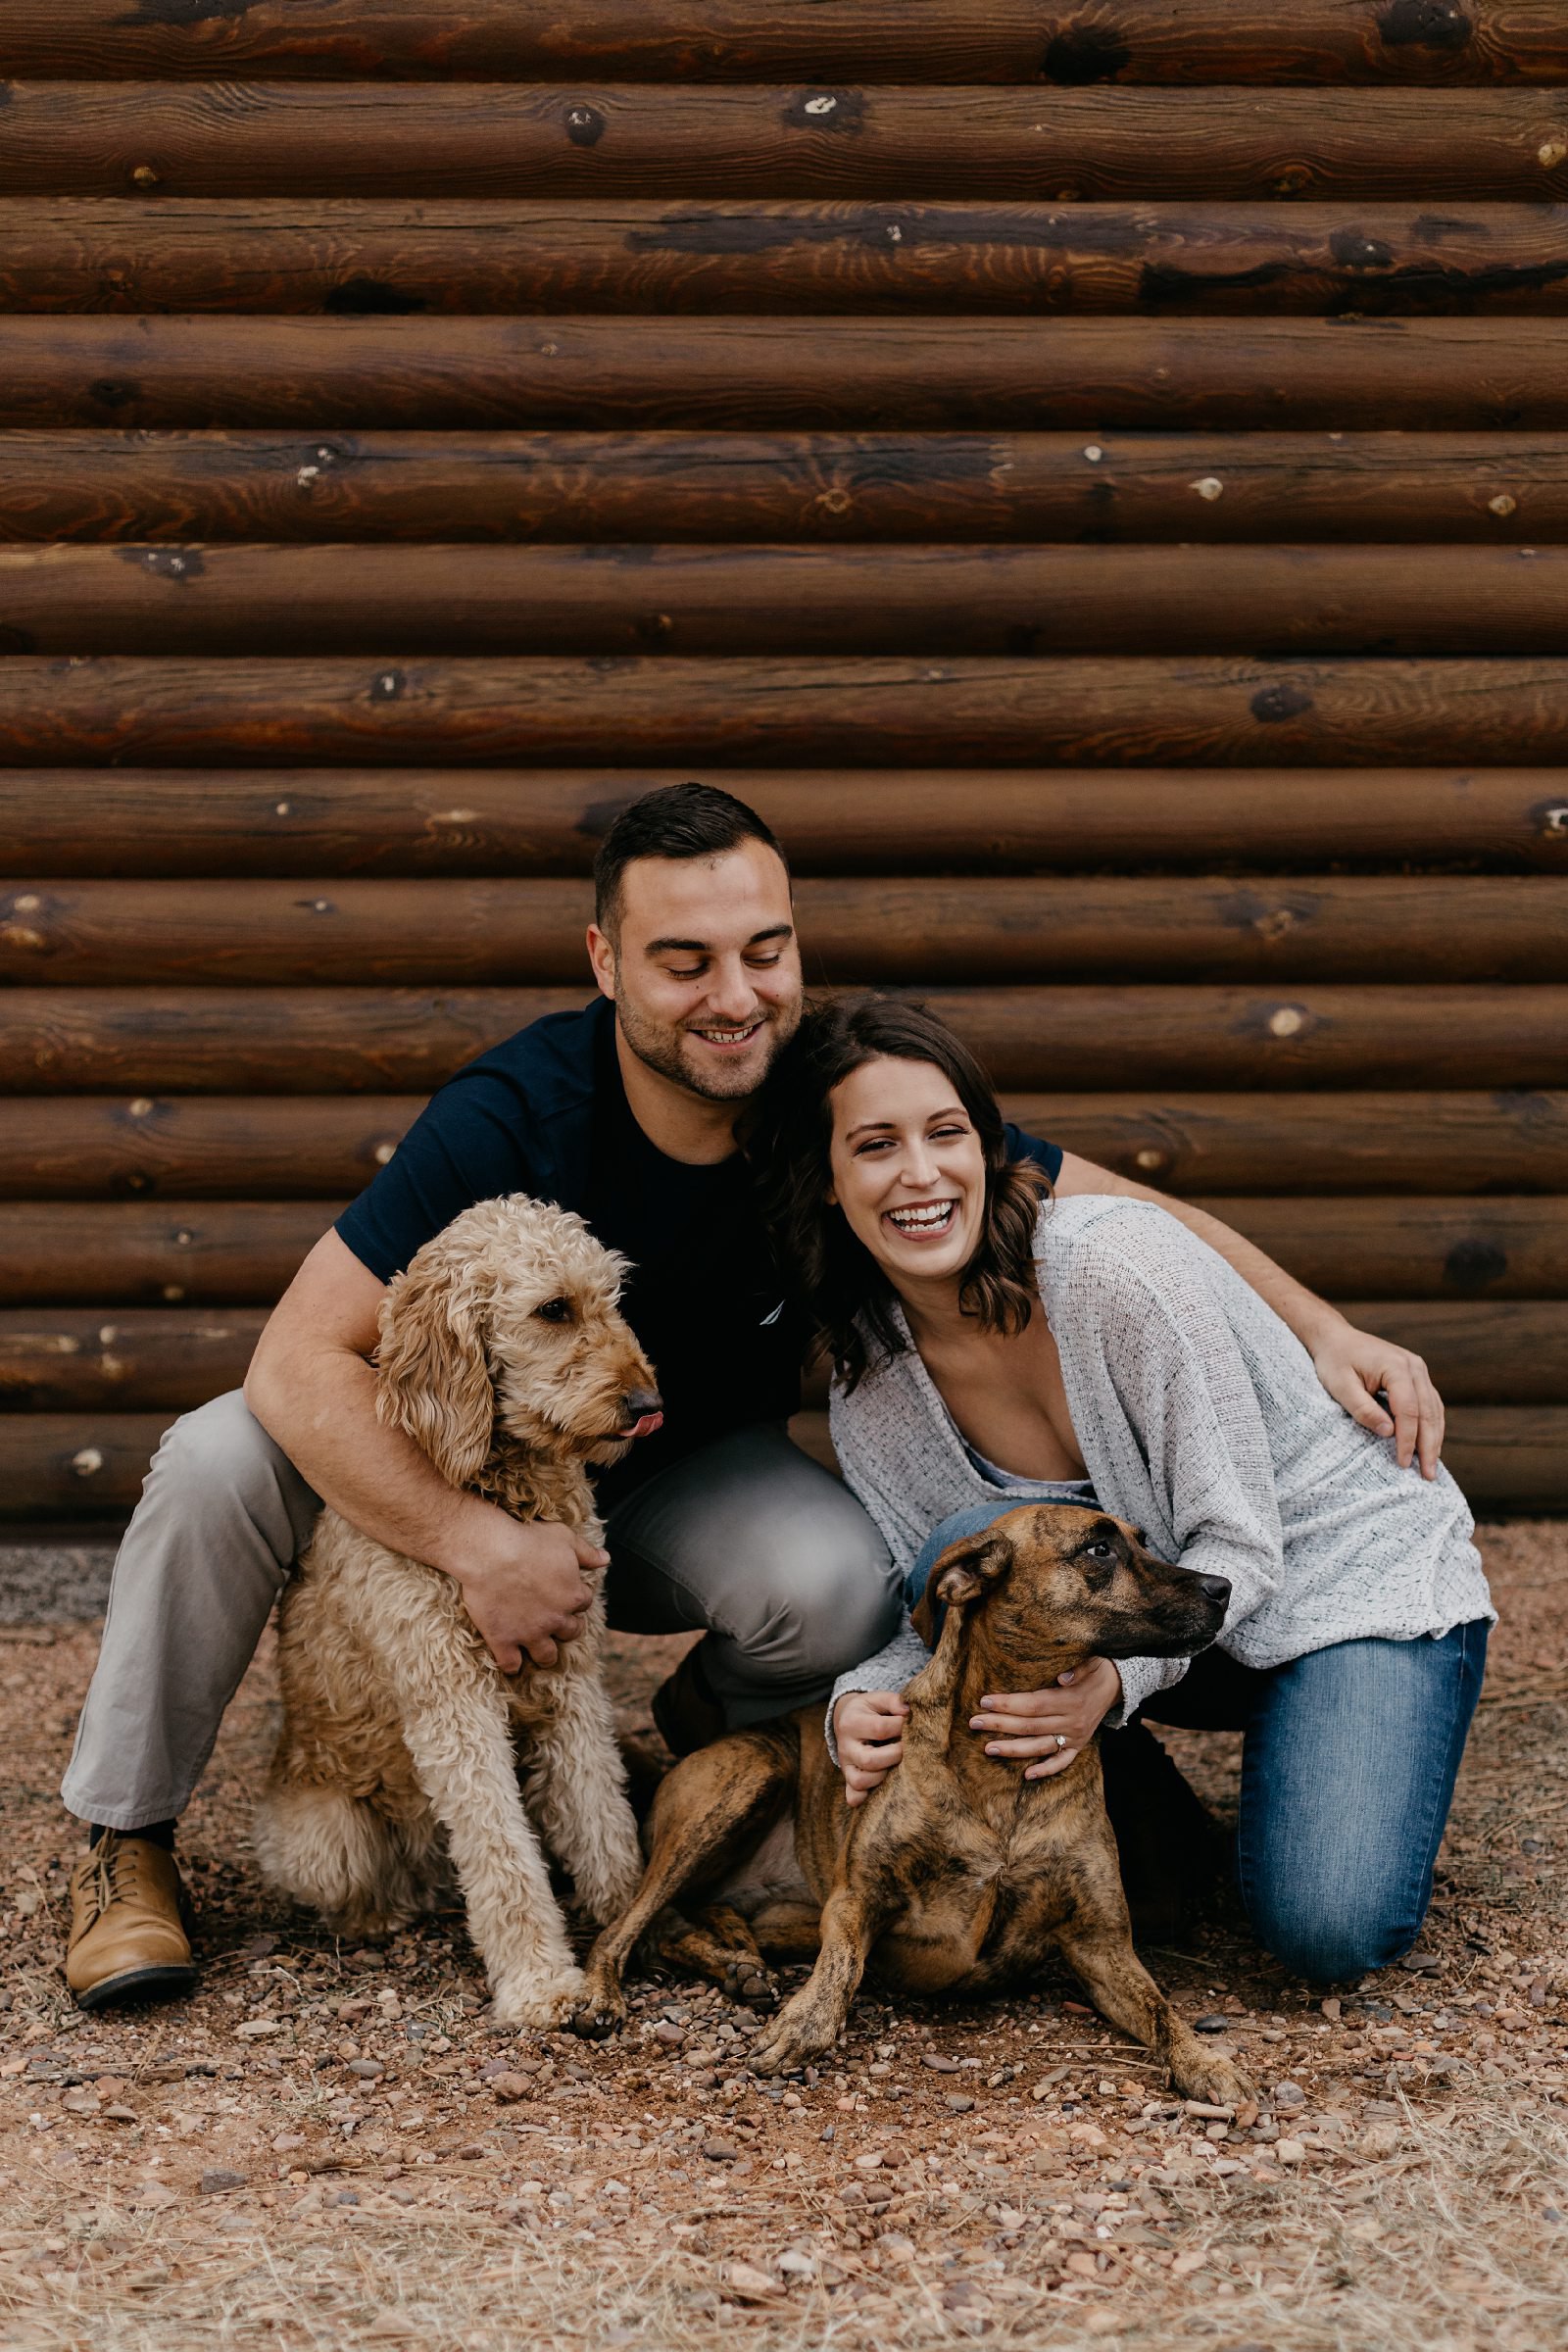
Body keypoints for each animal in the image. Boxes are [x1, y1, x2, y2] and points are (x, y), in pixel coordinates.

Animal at [255, 1195, 658, 2023]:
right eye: (553, 1309)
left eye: (611, 1298)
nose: (647, 1404)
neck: (505, 1495)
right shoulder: (453, 1701)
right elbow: (502, 1854)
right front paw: (541, 1983)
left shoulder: (573, 1681)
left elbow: (601, 1813)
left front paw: (624, 1914)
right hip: (323, 1839)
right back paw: (380, 1916)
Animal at [582, 1495, 1259, 2107]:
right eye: (1099, 1550)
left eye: (1142, 1541)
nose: (1223, 1585)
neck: (1000, 1773)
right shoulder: (857, 1898)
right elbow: (843, 1964)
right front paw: (804, 2025)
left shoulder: (1102, 1943)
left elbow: (1163, 2009)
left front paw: (1208, 2062)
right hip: (748, 1777)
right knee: (630, 1925)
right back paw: (603, 1994)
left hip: (777, 1909)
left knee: (690, 1921)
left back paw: (734, 1964)